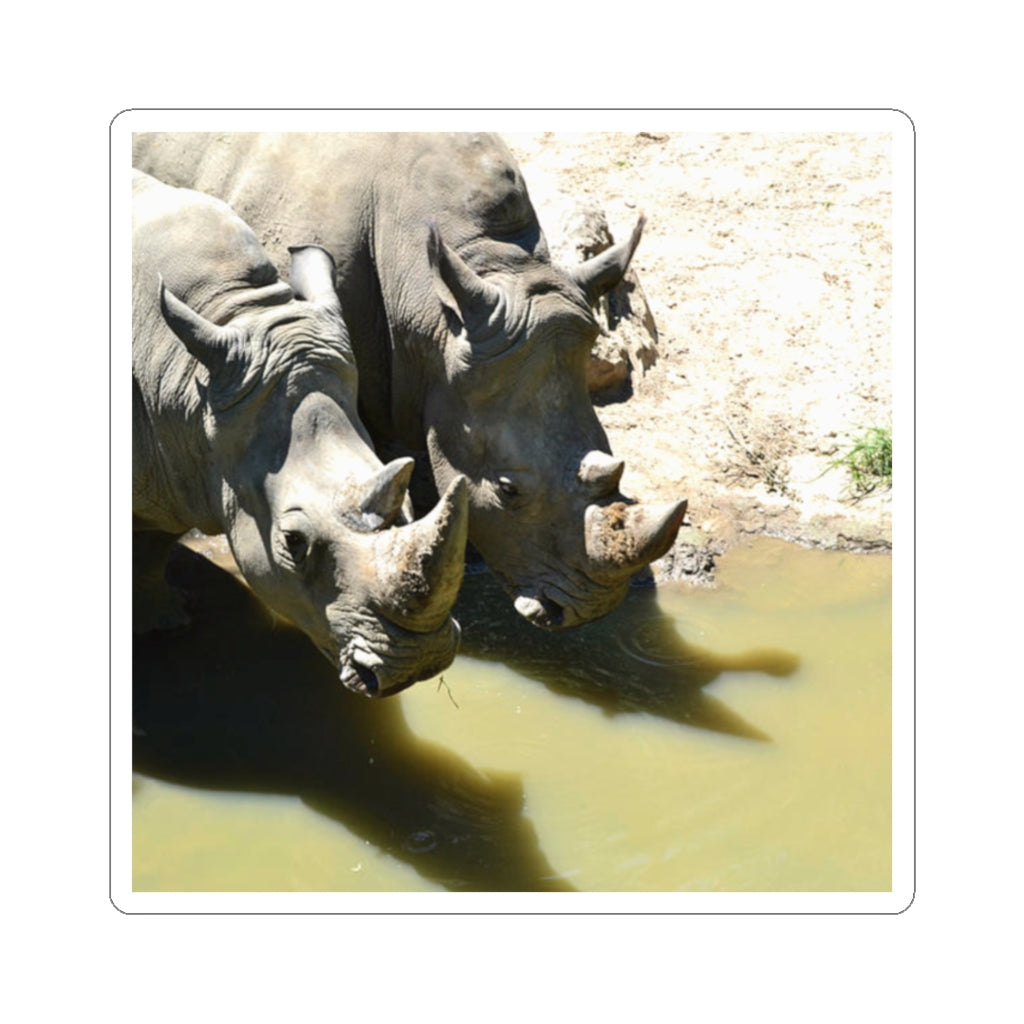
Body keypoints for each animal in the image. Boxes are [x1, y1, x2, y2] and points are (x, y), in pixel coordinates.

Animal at [132, 169, 469, 696]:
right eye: (292, 541)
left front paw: (161, 624)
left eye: (410, 507)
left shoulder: (173, 471)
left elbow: (151, 543)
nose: (415, 666)